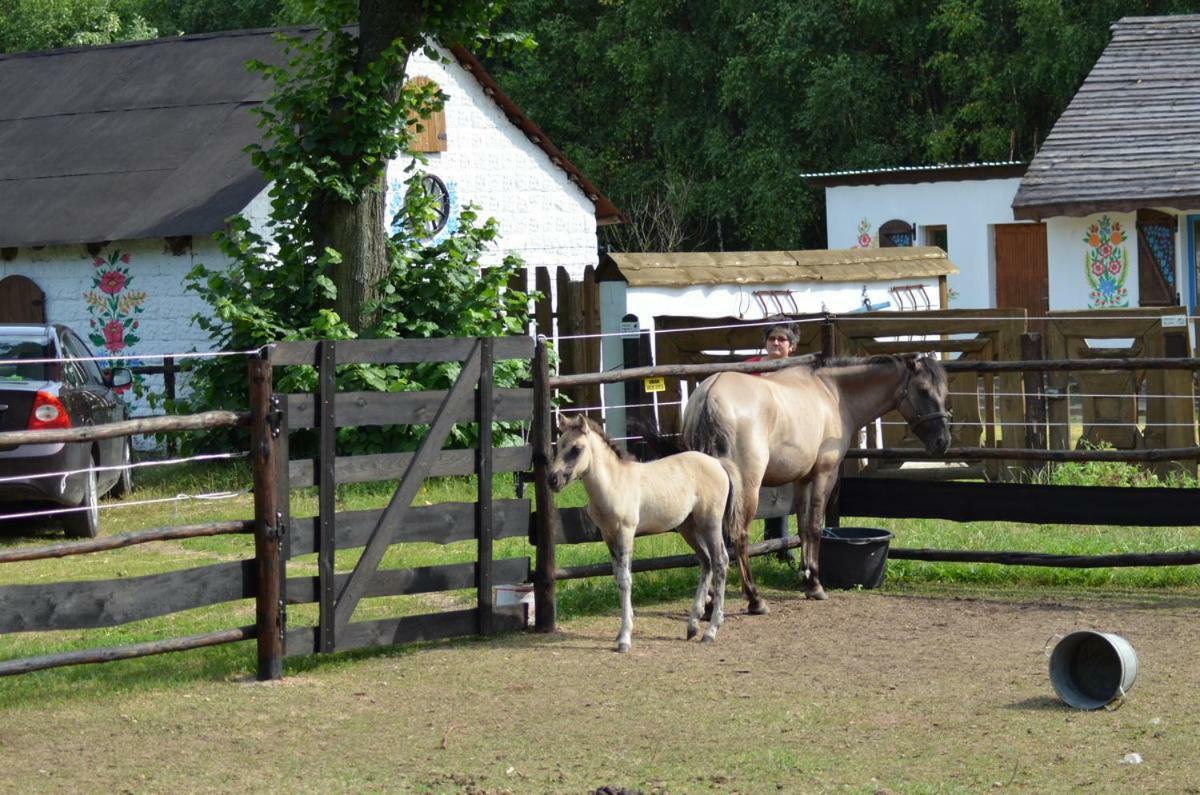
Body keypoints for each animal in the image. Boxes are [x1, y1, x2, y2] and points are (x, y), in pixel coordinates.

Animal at [547, 417, 739, 653]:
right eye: (558, 446)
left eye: (576, 449)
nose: (552, 480)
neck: (615, 483)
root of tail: (718, 463)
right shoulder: (608, 535)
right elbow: (618, 577)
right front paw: (623, 630)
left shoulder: (625, 533)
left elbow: (625, 579)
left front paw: (624, 639)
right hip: (688, 527)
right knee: (706, 562)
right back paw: (692, 625)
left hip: (710, 523)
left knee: (720, 561)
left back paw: (711, 630)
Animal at [686, 355, 945, 614]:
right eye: (923, 390)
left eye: (944, 391)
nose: (943, 441)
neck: (832, 393)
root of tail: (709, 394)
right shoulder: (824, 474)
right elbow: (814, 527)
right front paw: (815, 585)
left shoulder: (802, 479)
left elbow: (802, 528)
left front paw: (805, 577)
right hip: (747, 488)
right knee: (739, 535)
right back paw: (754, 599)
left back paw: (709, 601)